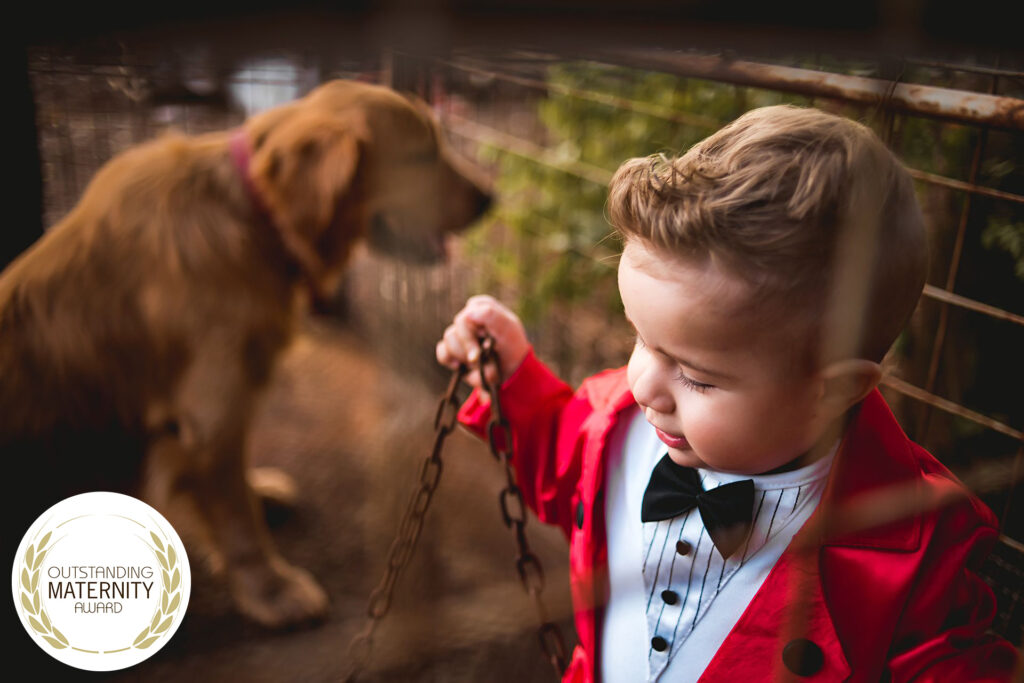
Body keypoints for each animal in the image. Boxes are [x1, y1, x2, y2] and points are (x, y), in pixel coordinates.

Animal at [0, 77, 493, 626]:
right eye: (420, 155)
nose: (490, 198)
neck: (255, 215)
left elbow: (237, 487)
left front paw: (262, 494)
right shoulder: (211, 412)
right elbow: (237, 519)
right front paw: (273, 591)